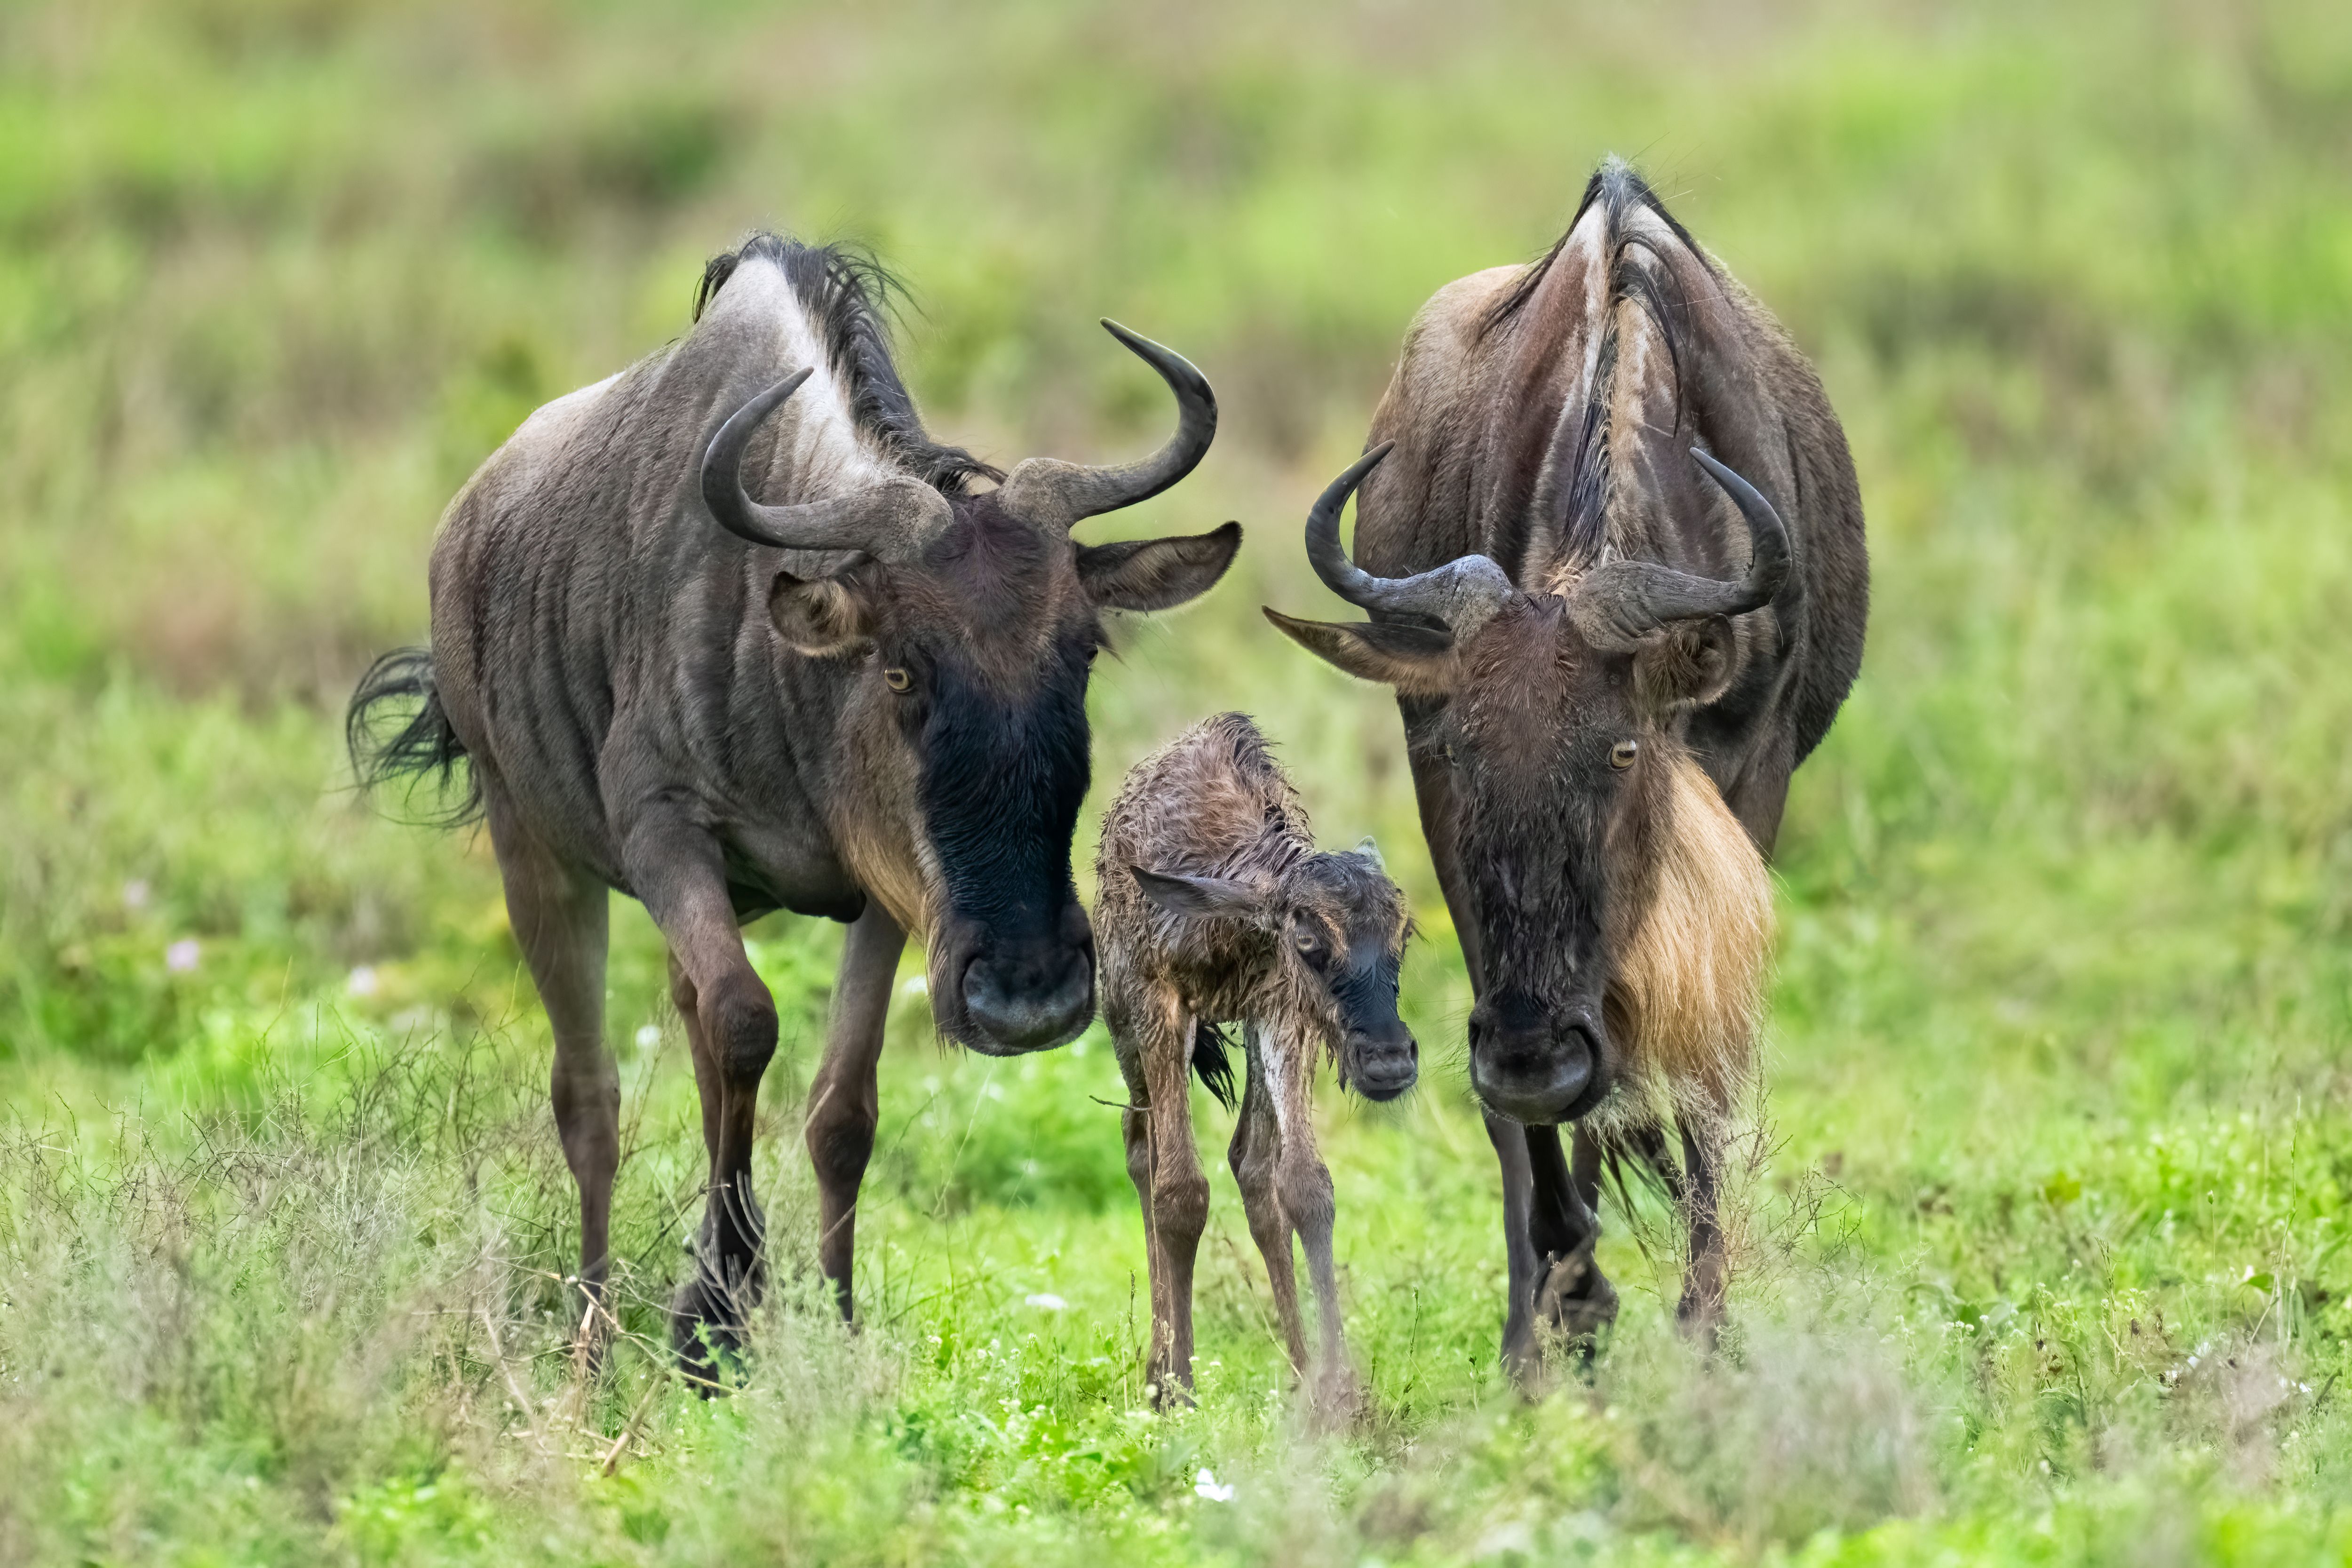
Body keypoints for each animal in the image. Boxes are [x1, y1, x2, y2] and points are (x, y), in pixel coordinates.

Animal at [347, 235, 1242, 1378]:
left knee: (687, 1029)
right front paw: (713, 1321)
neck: (792, 676)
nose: (1030, 998)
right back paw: (594, 1327)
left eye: (1082, 651)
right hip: (530, 850)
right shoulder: (665, 834)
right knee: (589, 1095)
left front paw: (830, 1317)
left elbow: (839, 1108)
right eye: (901, 668)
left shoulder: (893, 891)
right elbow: (744, 1023)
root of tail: (463, 528)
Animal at [1094, 712, 1415, 1408]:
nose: (1389, 1059)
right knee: (1139, 1146)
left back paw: (1296, 1367)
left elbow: (1304, 1184)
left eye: (1402, 936)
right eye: (1307, 935)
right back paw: (1158, 1364)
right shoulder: (1159, 998)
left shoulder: (1281, 1008)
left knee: (1251, 1163)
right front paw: (1178, 1386)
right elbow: (1180, 1191)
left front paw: (1337, 1389)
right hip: (1120, 1016)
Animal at [1264, 160, 1868, 1374]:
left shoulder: (1749, 782)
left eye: (1621, 746)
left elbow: (1697, 1071)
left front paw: (1702, 1326)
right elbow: (1541, 1117)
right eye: (1459, 749)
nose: (1532, 1056)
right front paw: (1565, 1307)